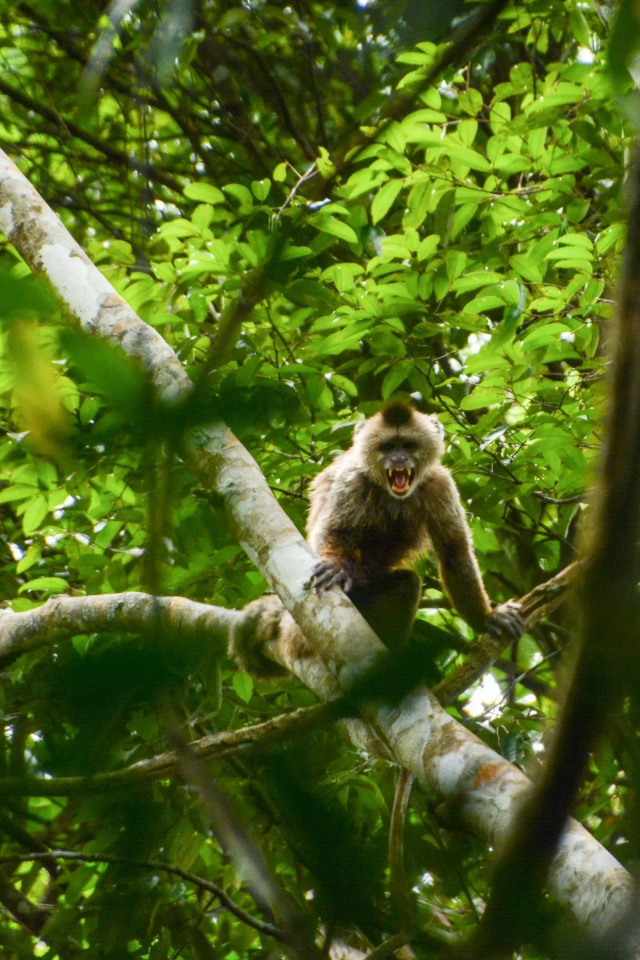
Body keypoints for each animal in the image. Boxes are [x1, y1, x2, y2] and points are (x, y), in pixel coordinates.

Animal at [229, 401, 523, 677]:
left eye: (408, 445)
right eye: (388, 447)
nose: (399, 459)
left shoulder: (440, 485)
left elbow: (454, 552)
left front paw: (486, 619)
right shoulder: (353, 480)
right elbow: (335, 531)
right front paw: (335, 566)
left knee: (407, 584)